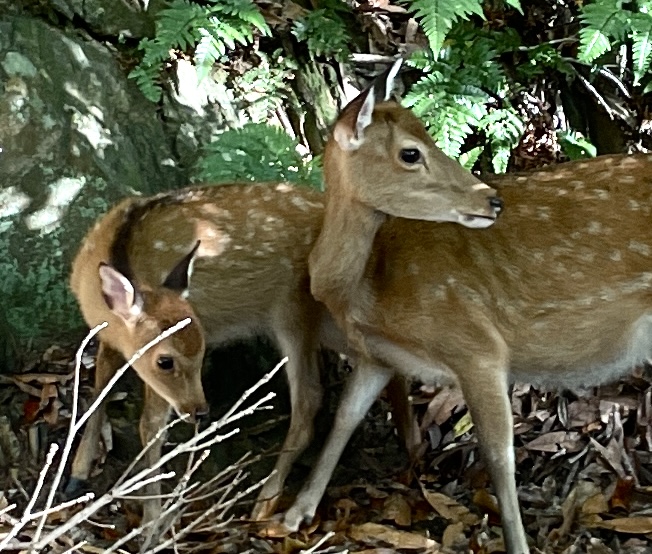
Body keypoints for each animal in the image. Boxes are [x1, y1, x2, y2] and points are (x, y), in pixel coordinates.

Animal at [67, 133, 496, 524]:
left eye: (201, 351)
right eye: (166, 361)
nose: (199, 411)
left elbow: (150, 426)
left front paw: (152, 520)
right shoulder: (108, 337)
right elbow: (99, 387)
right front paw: (78, 471)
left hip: (292, 310)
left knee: (310, 400)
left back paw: (267, 501)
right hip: (330, 323)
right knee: (385, 366)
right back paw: (412, 445)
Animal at [279, 60, 652, 554]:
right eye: (410, 153)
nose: (491, 199)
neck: (369, 289)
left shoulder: (476, 343)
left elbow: (499, 456)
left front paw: (518, 545)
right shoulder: (377, 355)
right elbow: (345, 416)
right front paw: (296, 512)